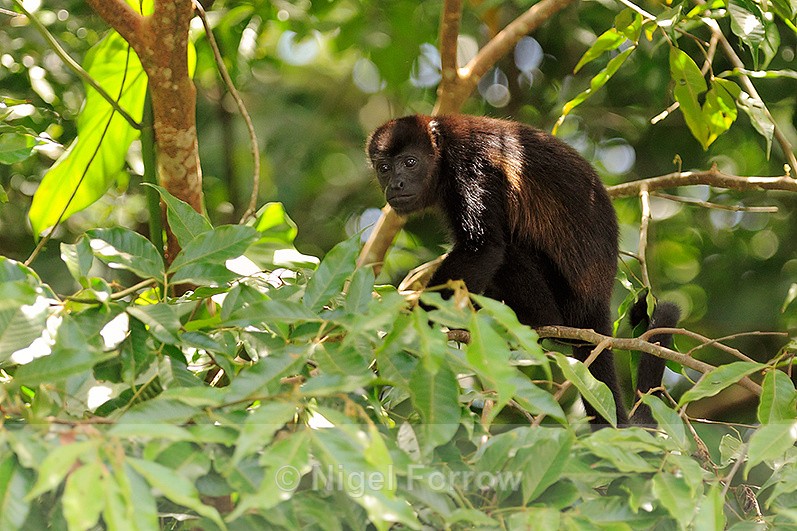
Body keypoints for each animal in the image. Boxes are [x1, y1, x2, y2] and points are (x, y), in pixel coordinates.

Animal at [366, 114, 679, 427]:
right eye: (384, 168)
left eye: (410, 162)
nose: (396, 184)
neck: (443, 154)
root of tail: (597, 303)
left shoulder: (473, 170)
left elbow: (483, 248)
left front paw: (409, 326)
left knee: (511, 253)